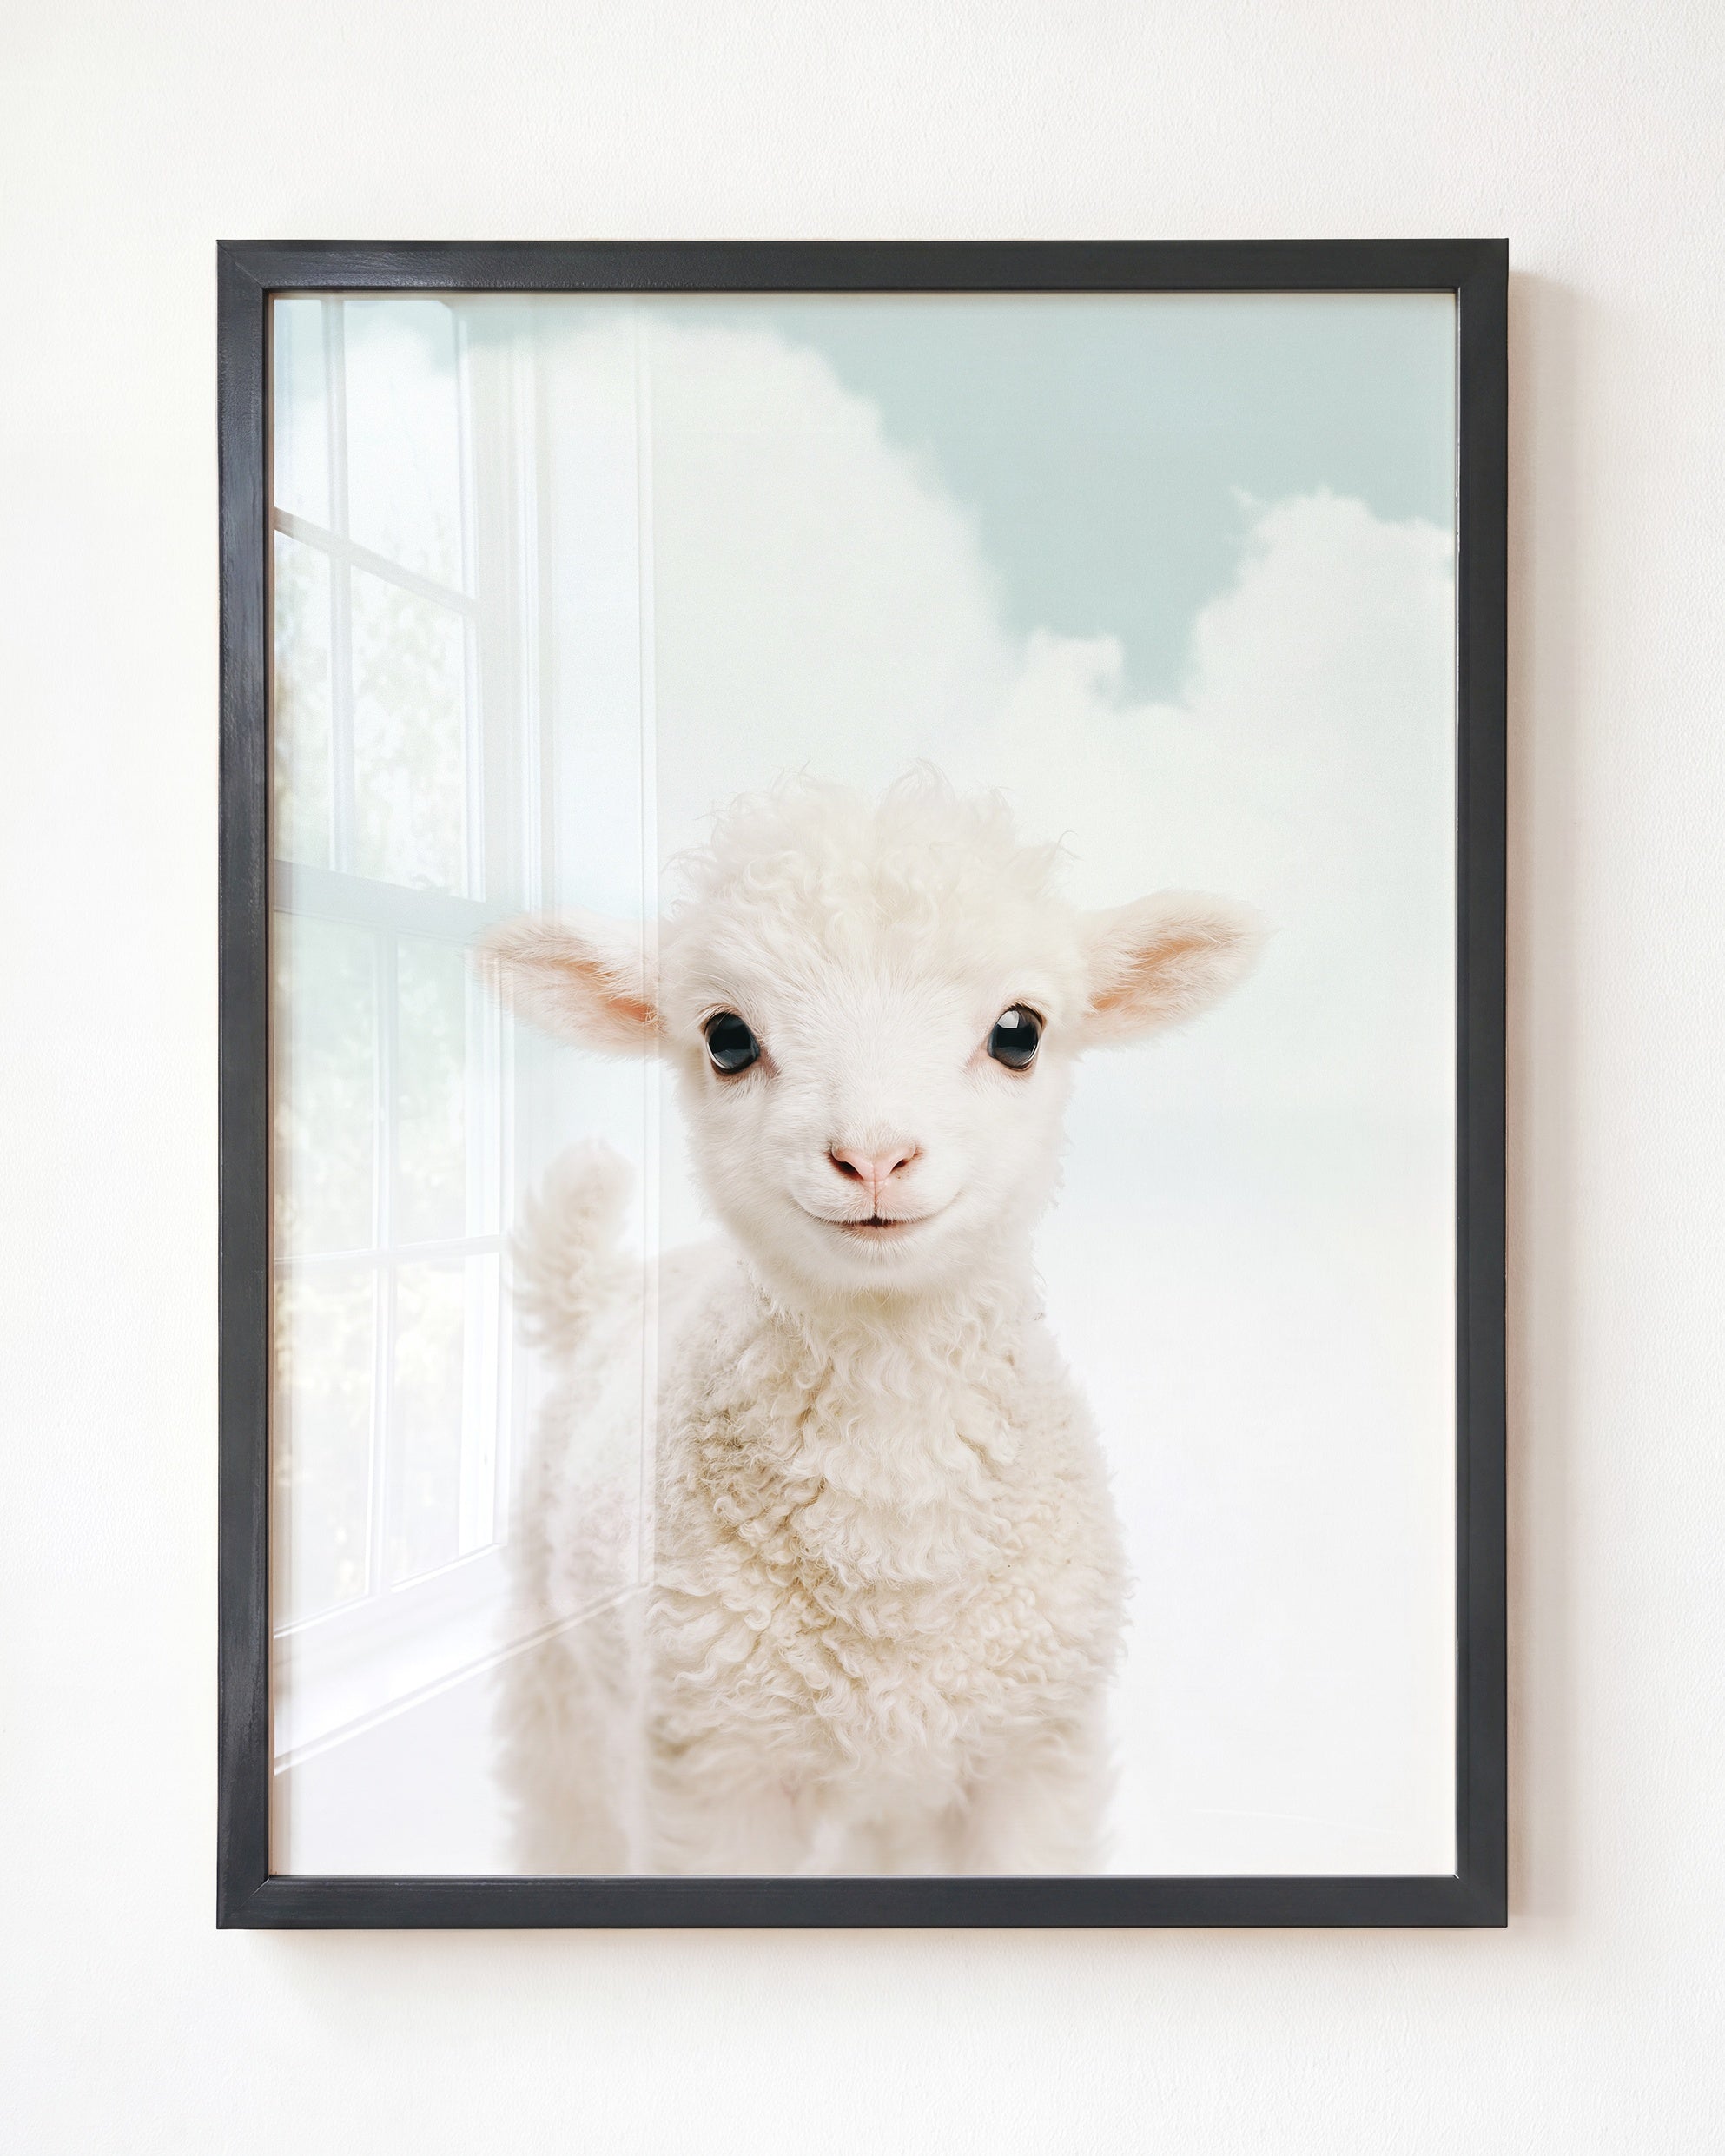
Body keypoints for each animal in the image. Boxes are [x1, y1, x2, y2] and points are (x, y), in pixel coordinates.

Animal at [480, 771, 1259, 1874]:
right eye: (727, 1038)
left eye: (1019, 1031)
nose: (874, 1157)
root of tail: (613, 1288)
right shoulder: (715, 1770)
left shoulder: (1033, 1756)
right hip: (558, 1679)